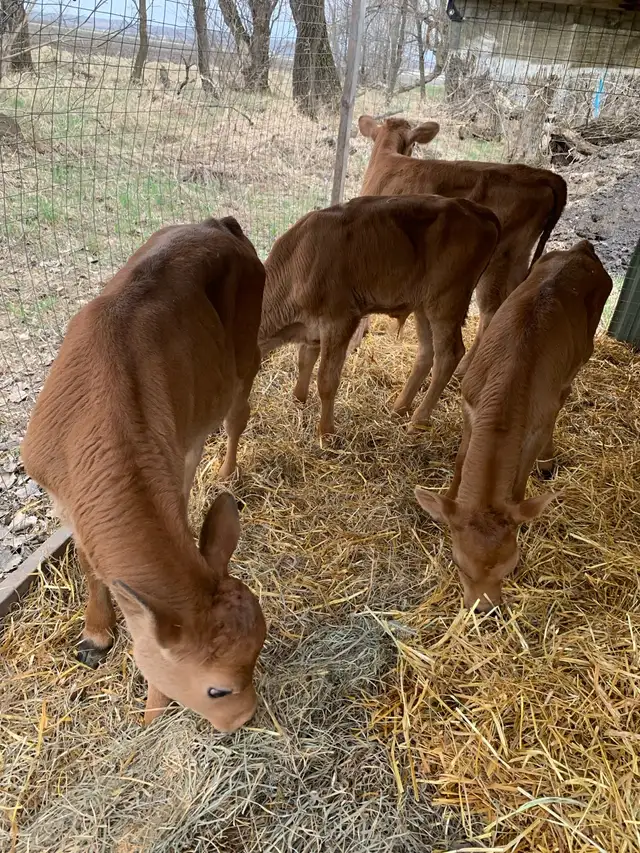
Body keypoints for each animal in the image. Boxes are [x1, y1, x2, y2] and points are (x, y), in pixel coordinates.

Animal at [21, 217, 267, 733]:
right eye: (217, 689)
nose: (244, 720)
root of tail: (218, 224)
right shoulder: (62, 497)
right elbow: (89, 563)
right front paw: (95, 636)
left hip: (246, 354)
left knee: (236, 415)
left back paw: (226, 472)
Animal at [259, 194, 500, 434]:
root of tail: (476, 209)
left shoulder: (340, 320)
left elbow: (326, 380)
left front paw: (325, 432)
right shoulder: (313, 329)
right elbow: (305, 359)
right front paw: (298, 400)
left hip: (446, 305)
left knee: (449, 355)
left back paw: (417, 421)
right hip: (423, 306)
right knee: (426, 351)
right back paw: (399, 408)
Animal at [355, 115, 567, 373]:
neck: (386, 157)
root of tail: (542, 175)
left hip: (498, 260)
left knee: (490, 310)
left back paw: (466, 367)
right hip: (519, 255)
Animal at [415, 241, 612, 611]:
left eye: (512, 564)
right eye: (458, 563)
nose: (484, 609)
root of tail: (582, 249)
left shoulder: (537, 423)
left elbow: (519, 484)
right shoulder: (470, 406)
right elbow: (461, 463)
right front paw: (447, 502)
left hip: (580, 358)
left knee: (567, 389)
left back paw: (548, 461)